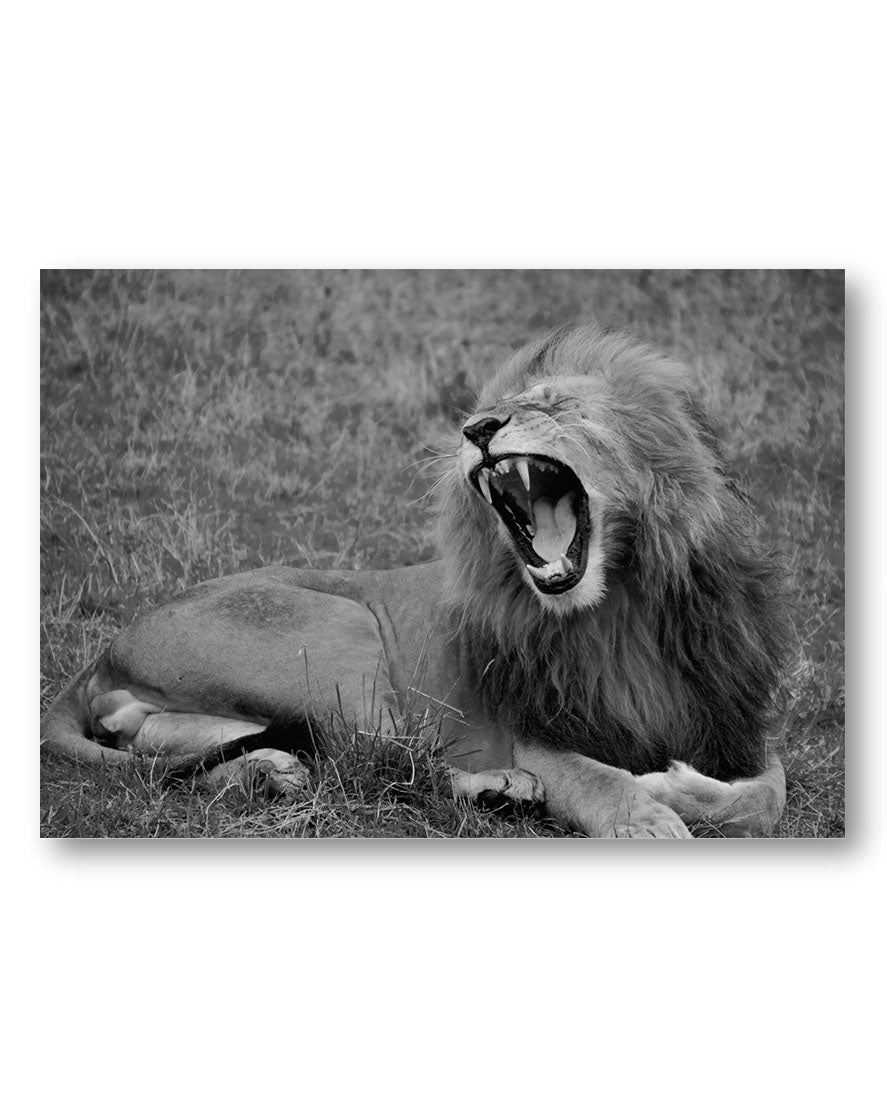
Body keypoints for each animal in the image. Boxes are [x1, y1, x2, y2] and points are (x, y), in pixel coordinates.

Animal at [41, 324, 791, 837]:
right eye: (494, 407)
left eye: (553, 404)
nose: (477, 427)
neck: (622, 607)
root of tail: (106, 648)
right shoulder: (539, 733)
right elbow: (599, 778)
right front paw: (649, 813)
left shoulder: (731, 720)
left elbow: (768, 794)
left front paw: (675, 787)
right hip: (342, 632)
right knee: (377, 760)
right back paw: (496, 788)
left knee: (168, 743)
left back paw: (268, 772)